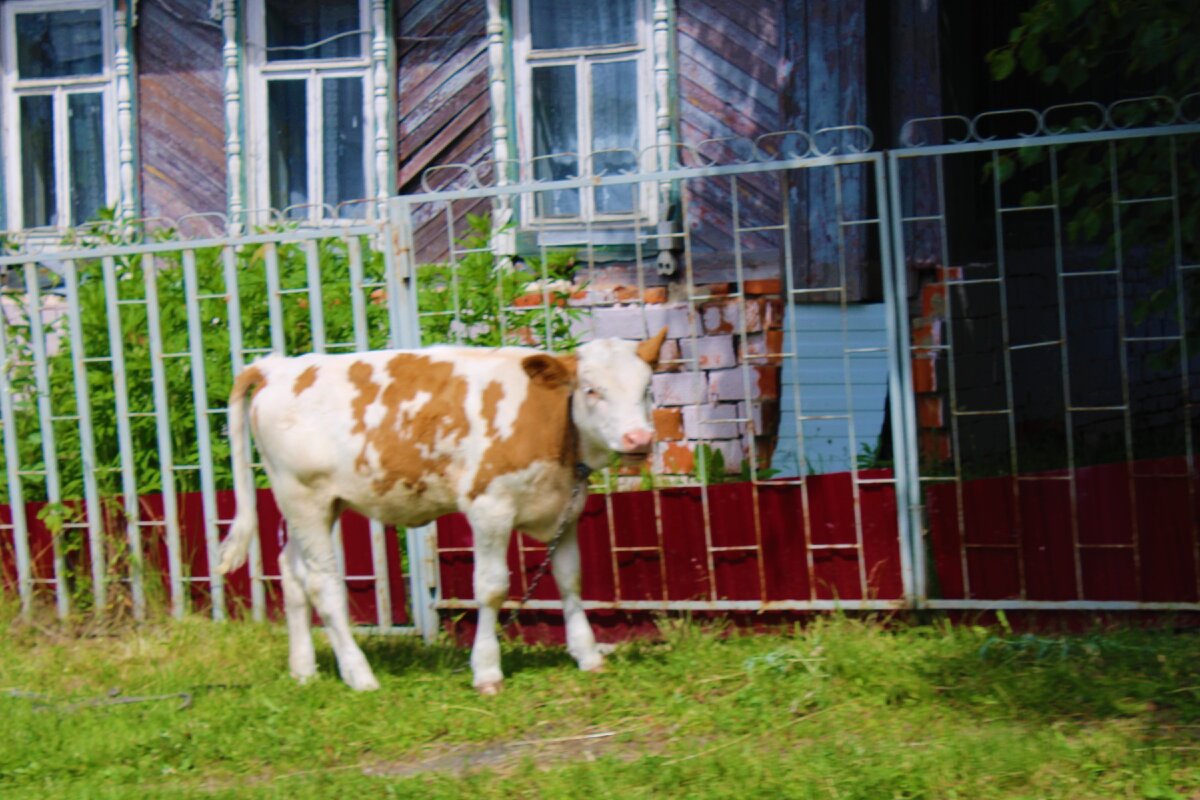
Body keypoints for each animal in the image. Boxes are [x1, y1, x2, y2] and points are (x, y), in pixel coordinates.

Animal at [216, 331, 667, 695]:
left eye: (647, 388)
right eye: (591, 390)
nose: (639, 438)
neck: (549, 420)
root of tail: (278, 367)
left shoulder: (566, 511)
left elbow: (570, 580)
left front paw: (588, 655)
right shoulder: (489, 508)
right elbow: (492, 587)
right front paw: (486, 671)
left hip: (316, 505)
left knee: (291, 572)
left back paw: (304, 671)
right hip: (304, 497)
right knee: (322, 585)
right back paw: (360, 675)